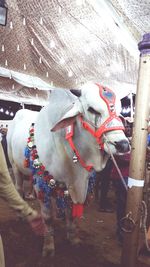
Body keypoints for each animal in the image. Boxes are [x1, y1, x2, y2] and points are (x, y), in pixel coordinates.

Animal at [6, 83, 129, 255]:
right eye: (92, 109)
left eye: (118, 110)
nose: (123, 145)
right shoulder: (41, 183)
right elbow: (47, 218)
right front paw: (48, 247)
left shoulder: (74, 184)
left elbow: (71, 214)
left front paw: (73, 238)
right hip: (15, 165)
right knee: (18, 188)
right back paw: (20, 215)